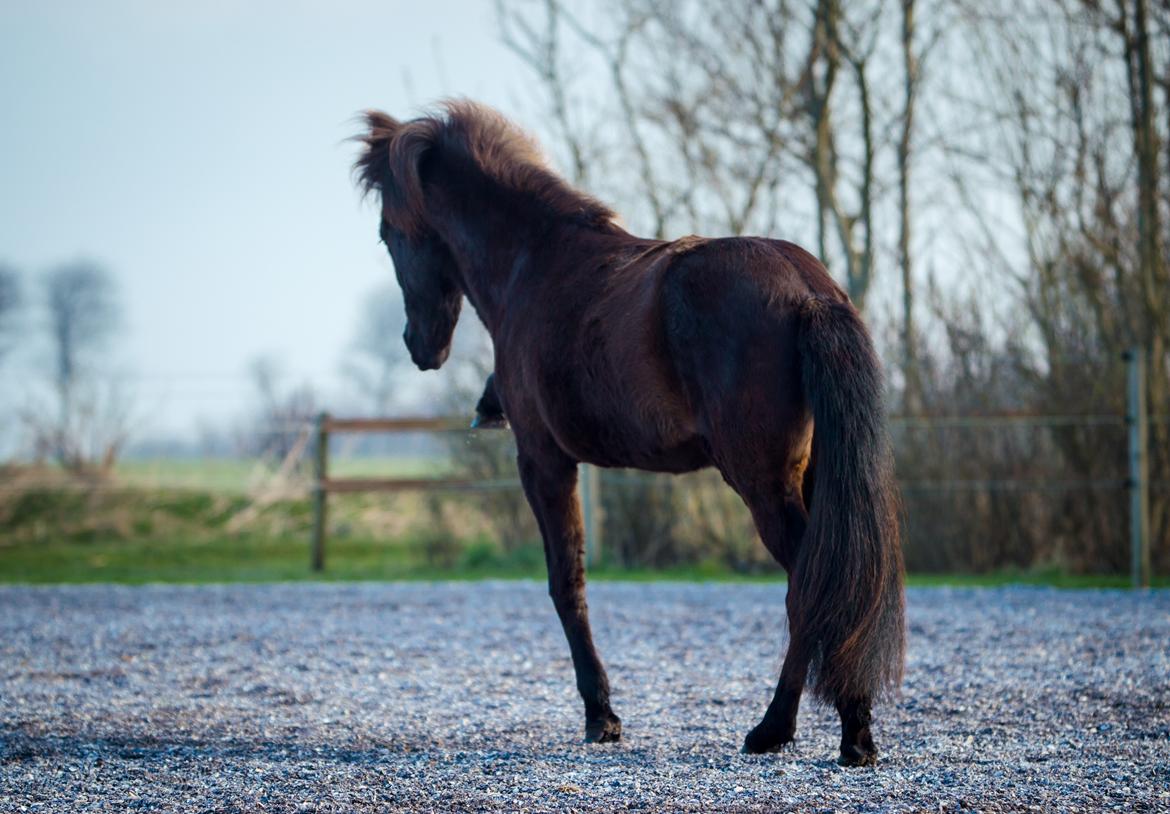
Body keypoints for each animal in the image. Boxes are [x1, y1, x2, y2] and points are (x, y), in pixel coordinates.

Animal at [353, 99, 903, 762]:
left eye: (388, 233)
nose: (418, 345)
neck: (535, 263)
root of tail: (809, 290)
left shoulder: (542, 460)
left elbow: (567, 583)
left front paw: (601, 715)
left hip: (763, 484)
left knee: (811, 585)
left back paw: (786, 728)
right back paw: (841, 728)